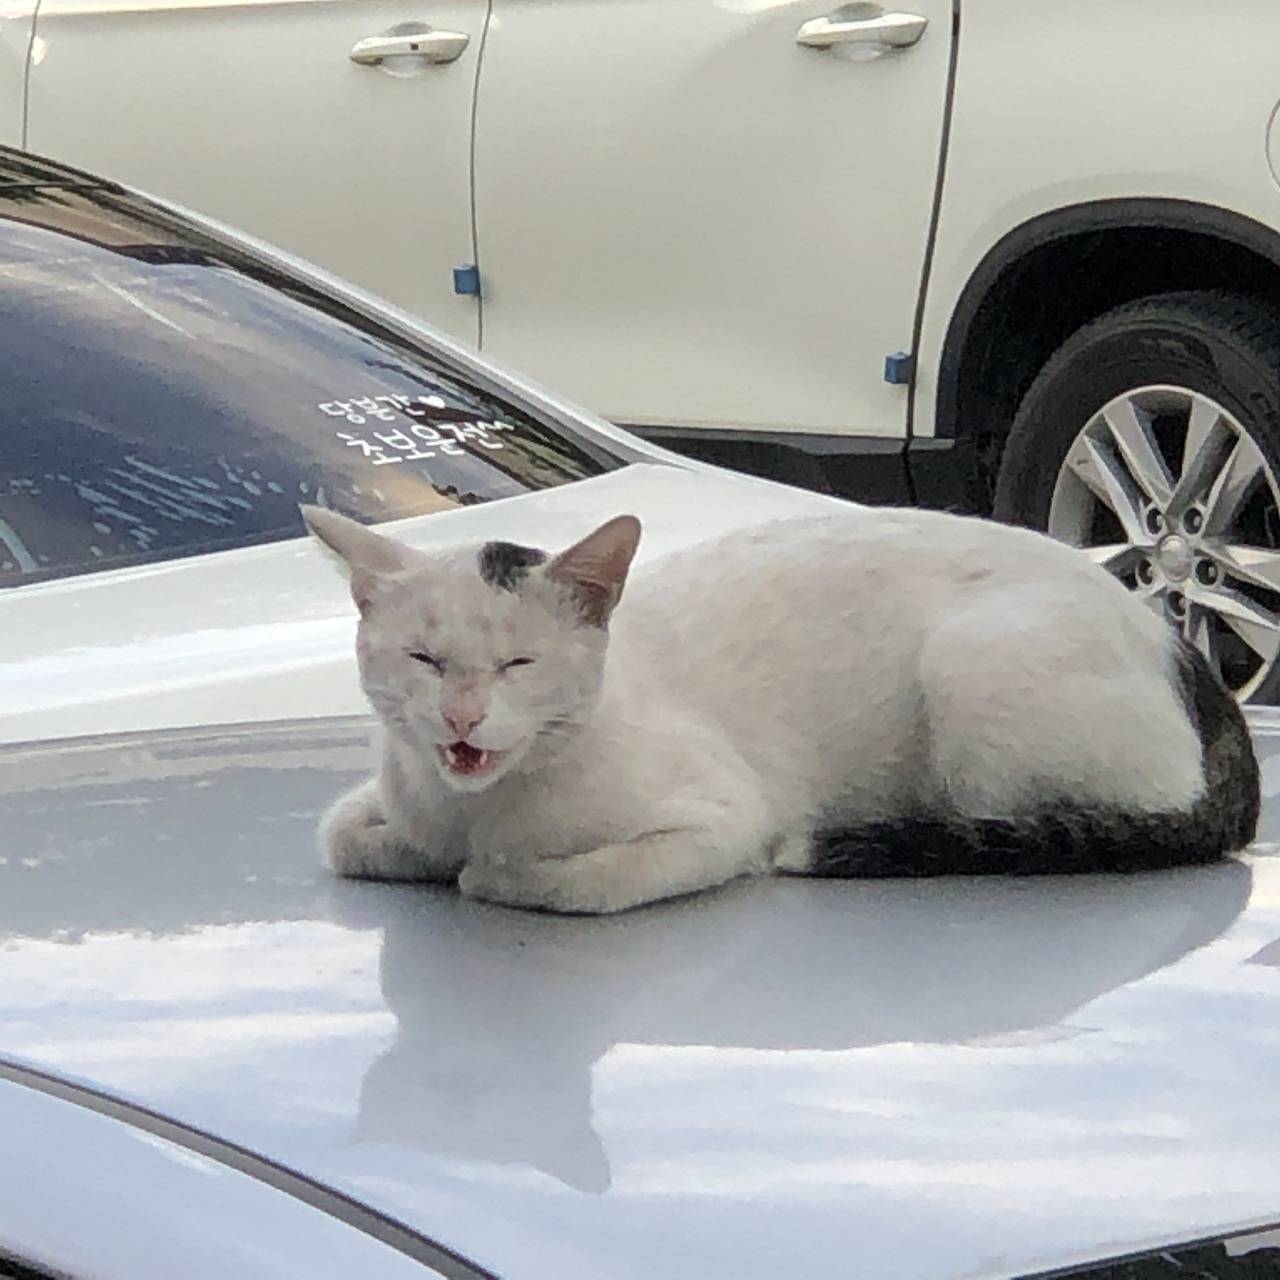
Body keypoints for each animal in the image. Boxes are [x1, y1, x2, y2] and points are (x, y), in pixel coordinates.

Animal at [304, 504, 1254, 916]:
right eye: (424, 661)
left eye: (518, 664)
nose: (462, 719)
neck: (478, 810)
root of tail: (1178, 647)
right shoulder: (385, 797)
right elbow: (348, 836)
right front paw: (422, 854)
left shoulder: (724, 819)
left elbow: (581, 882)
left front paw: (498, 875)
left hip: (977, 669)